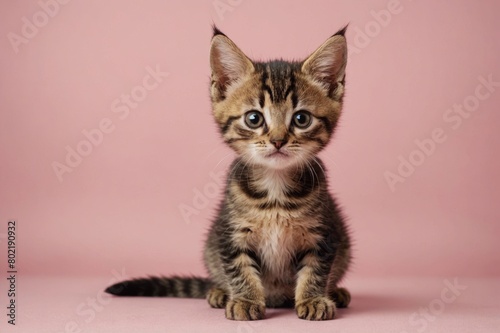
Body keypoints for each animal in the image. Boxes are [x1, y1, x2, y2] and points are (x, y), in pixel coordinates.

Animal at [107, 24, 354, 320]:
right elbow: (239, 268)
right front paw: (245, 300)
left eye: (301, 119)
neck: (275, 188)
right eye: (254, 118)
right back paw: (219, 292)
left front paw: (314, 298)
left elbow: (316, 269)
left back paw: (336, 292)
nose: (278, 141)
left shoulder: (323, 234)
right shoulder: (230, 232)